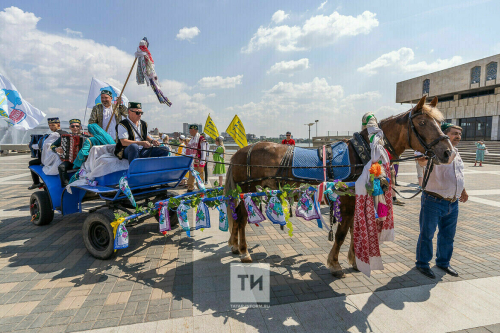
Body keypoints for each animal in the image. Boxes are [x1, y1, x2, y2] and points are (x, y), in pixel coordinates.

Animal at [226, 95, 454, 274]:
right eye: (422, 123)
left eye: (439, 122)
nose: (448, 152)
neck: (364, 153)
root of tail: (239, 152)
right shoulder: (345, 202)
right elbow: (342, 233)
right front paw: (335, 263)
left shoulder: (356, 199)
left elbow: (354, 230)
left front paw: (354, 261)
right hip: (246, 190)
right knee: (242, 218)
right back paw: (244, 251)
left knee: (237, 218)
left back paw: (236, 246)